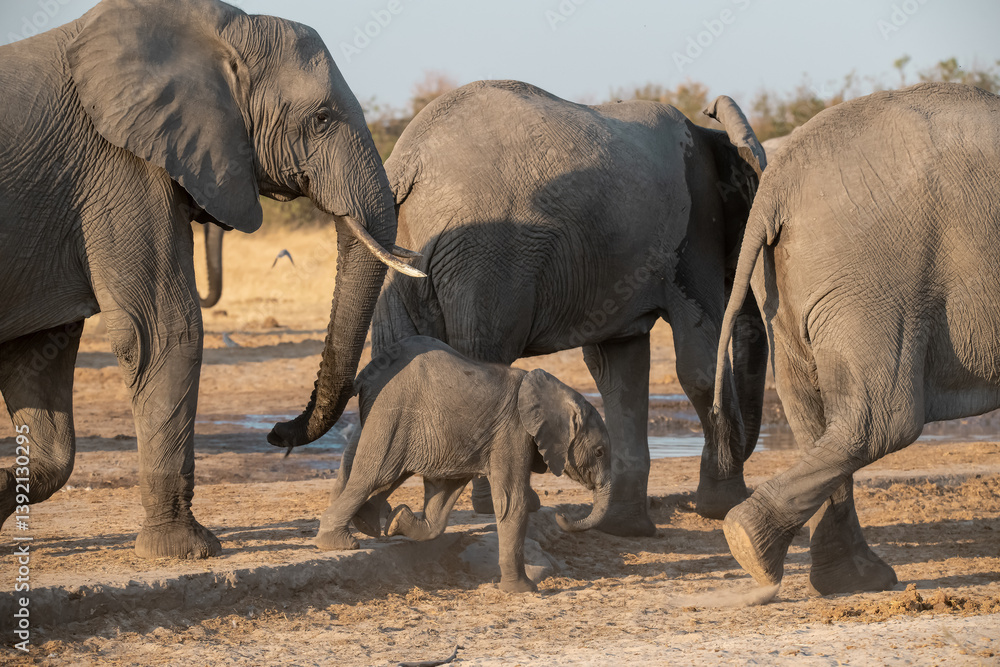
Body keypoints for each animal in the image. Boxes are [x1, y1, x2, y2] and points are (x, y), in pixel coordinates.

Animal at [0, 0, 422, 559]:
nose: (276, 432)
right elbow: (162, 330)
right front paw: (184, 550)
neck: (221, 27)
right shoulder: (118, 165)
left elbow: (38, 356)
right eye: (322, 119)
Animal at [271, 80, 769, 536]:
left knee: (396, 359)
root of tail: (409, 160)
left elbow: (619, 369)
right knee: (484, 354)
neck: (713, 137)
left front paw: (625, 528)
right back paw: (502, 506)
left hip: (413, 253)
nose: (276, 433)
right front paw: (722, 507)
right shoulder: (696, 234)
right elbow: (699, 361)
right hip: (487, 256)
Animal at [314, 336, 613, 593]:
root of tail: (369, 371)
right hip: (391, 410)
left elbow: (443, 499)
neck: (558, 393)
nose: (562, 516)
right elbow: (511, 500)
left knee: (391, 475)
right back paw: (338, 541)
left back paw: (370, 524)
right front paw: (523, 590)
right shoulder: (513, 431)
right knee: (375, 474)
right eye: (599, 452)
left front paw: (400, 521)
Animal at [712, 82, 1000, 595]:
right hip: (876, 277)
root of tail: (775, 189)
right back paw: (755, 546)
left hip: (791, 281)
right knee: (883, 420)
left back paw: (835, 575)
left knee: (815, 415)